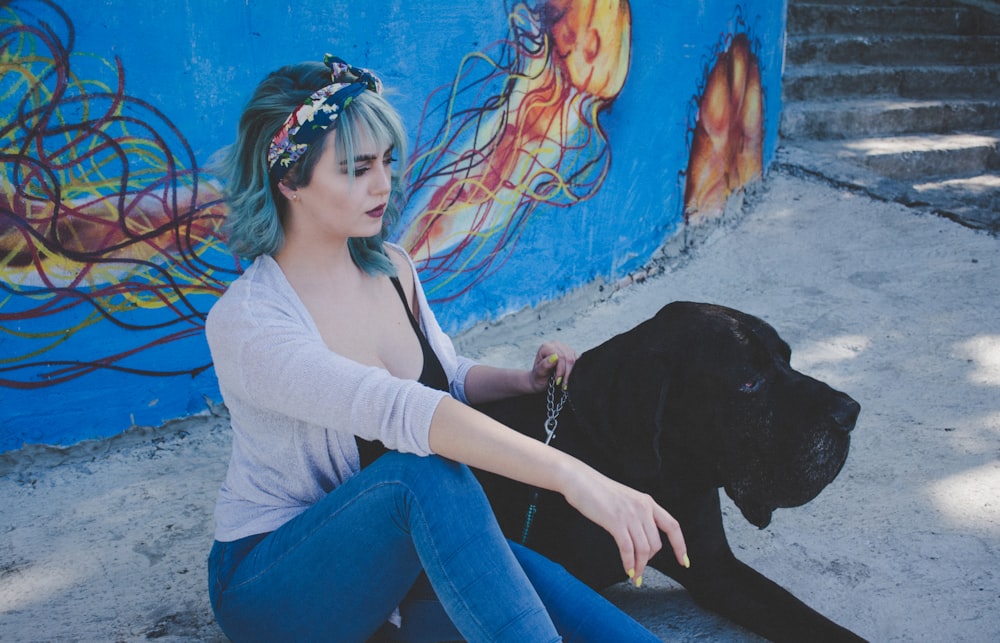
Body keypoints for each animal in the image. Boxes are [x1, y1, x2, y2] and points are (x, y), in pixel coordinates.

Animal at [474, 304, 860, 643]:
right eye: (750, 382)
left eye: (789, 359)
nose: (850, 413)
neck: (664, 479)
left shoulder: (717, 570)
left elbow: (810, 619)